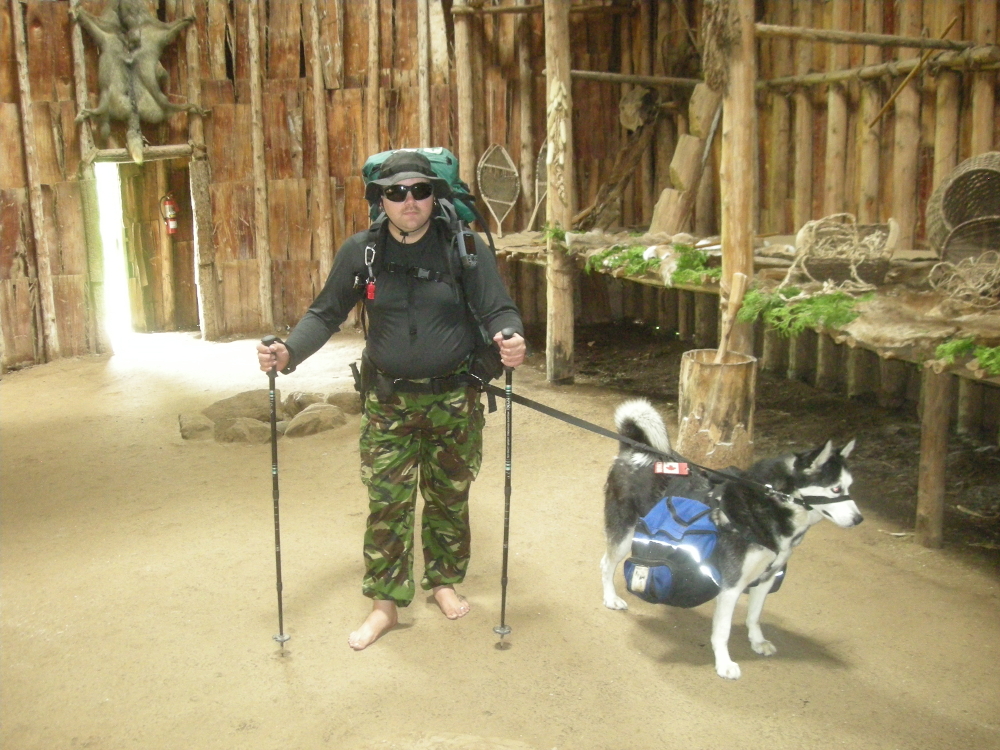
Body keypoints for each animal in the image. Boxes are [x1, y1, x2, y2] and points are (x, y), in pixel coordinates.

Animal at [600, 400, 860, 680]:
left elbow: (754, 617)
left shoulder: (766, 579)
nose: (859, 519)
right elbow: (722, 631)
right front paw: (724, 663)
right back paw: (610, 598)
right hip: (624, 533)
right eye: (835, 488)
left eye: (849, 486)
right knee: (606, 564)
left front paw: (757, 641)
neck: (772, 502)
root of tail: (635, 450)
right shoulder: (731, 585)